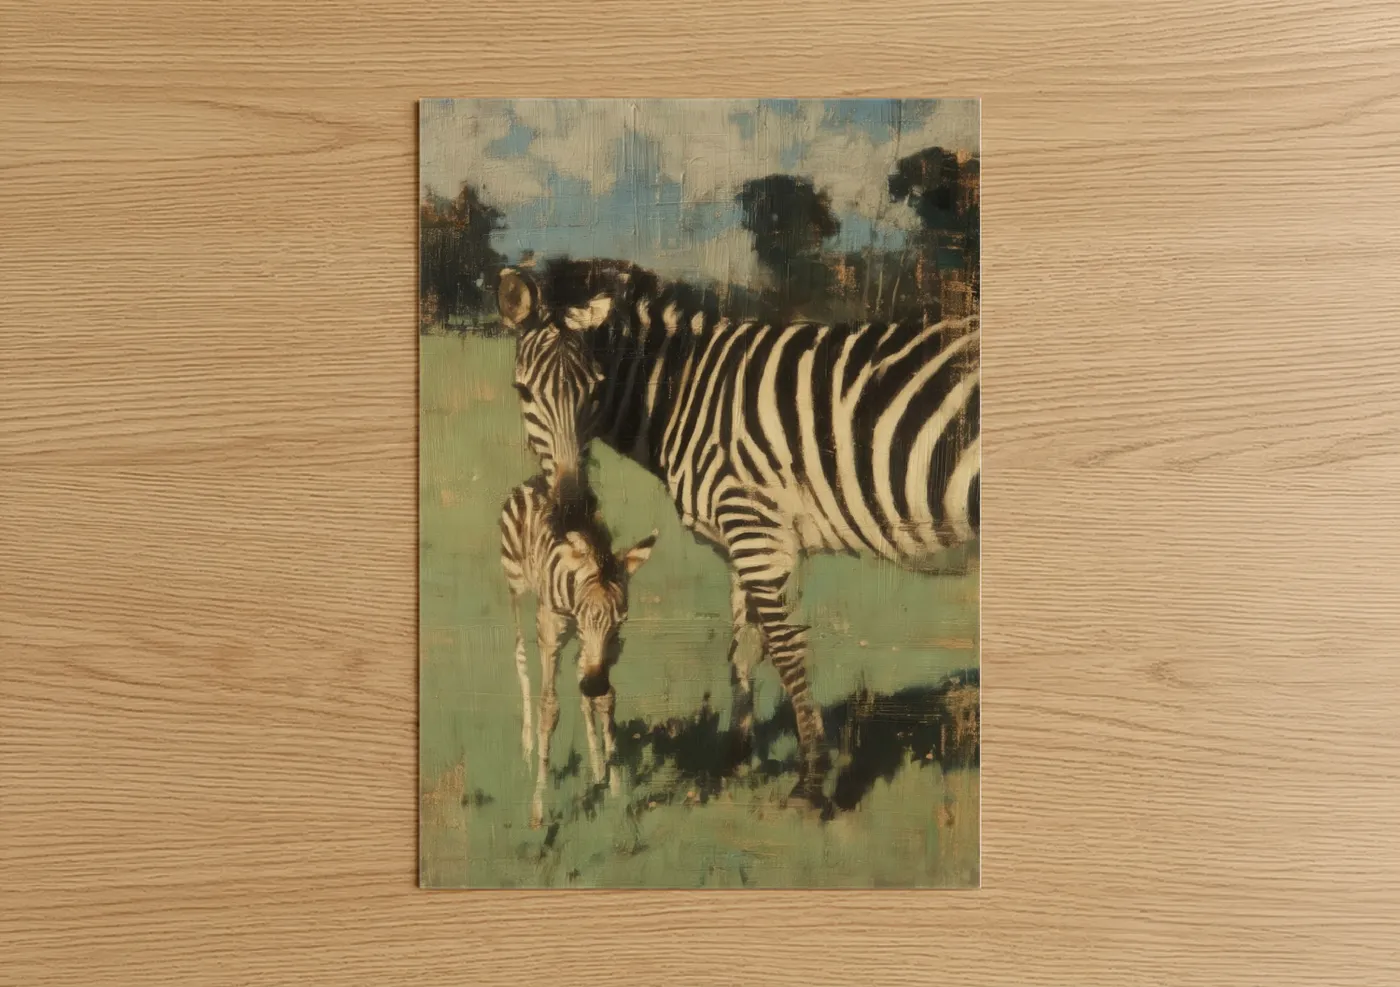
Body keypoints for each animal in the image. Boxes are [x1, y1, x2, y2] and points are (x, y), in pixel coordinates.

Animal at [499, 474, 657, 828]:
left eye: (622, 620)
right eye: (584, 614)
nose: (595, 682)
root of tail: (535, 480)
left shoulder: (607, 647)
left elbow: (604, 700)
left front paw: (612, 785)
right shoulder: (550, 634)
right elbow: (549, 708)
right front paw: (539, 807)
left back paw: (596, 769)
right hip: (518, 592)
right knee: (520, 659)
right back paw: (527, 750)